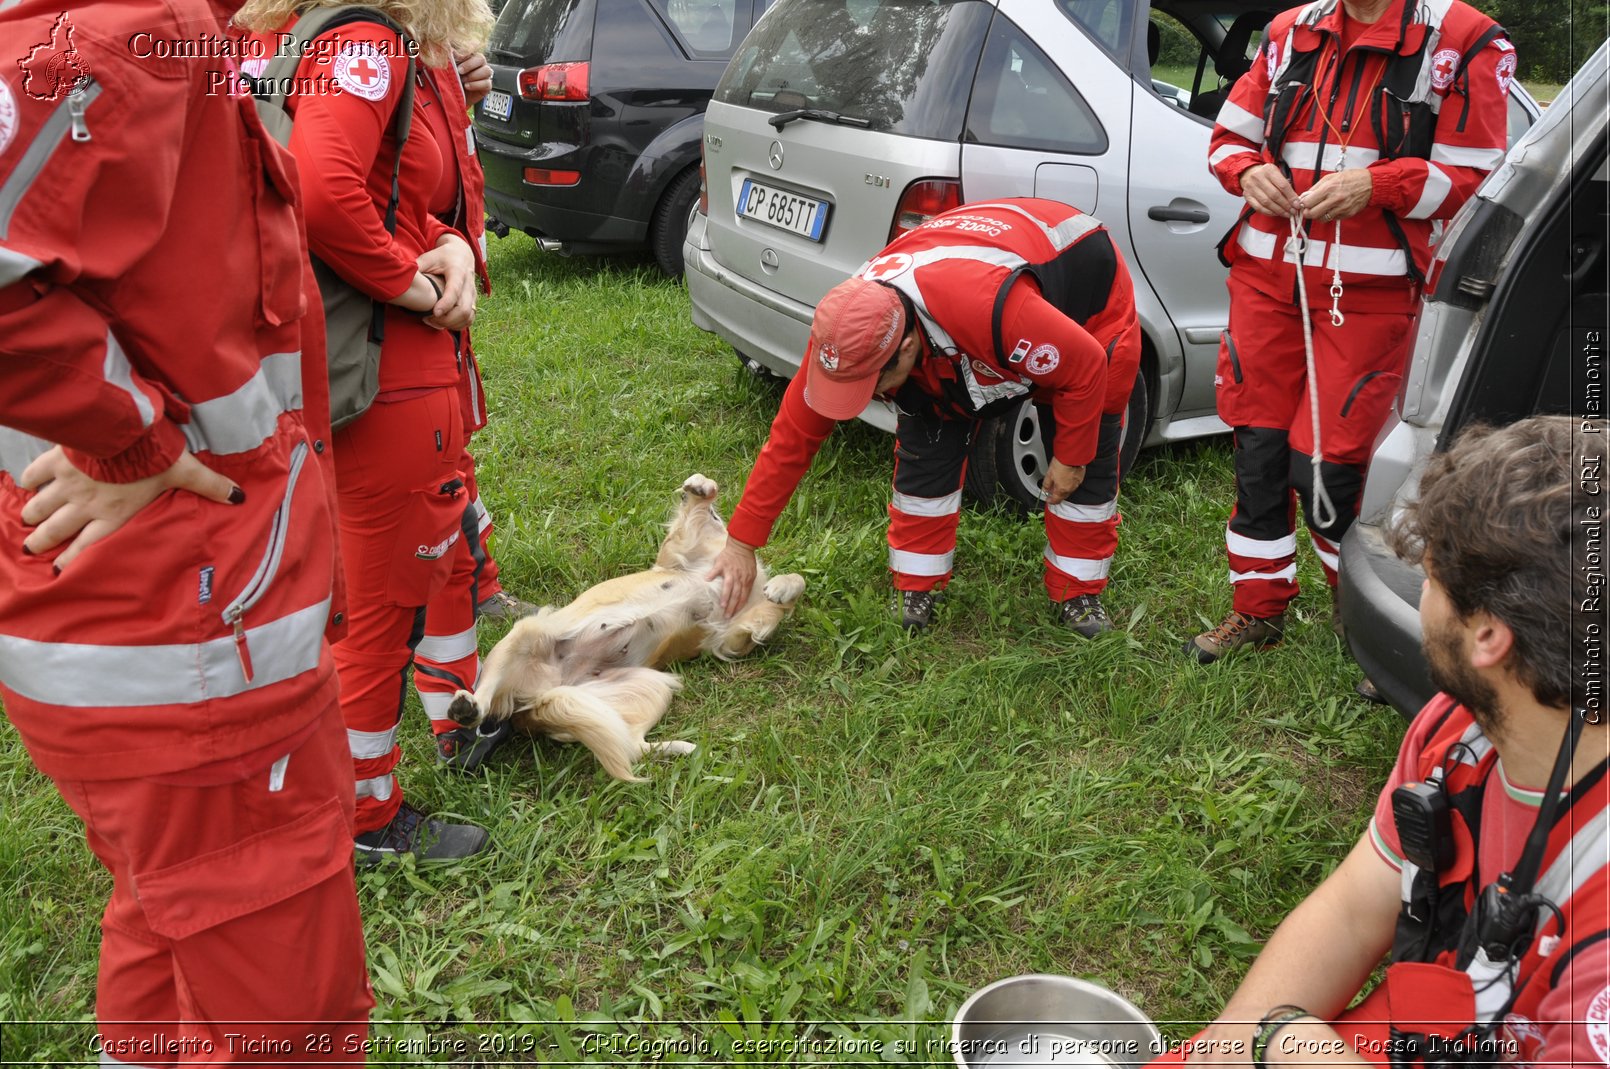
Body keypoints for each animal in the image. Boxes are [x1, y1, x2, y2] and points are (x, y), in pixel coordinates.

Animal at [447, 473, 805, 782]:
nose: (714, 514)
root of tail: (542, 697)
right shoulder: (679, 557)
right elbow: (690, 526)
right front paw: (701, 488)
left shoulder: (727, 636)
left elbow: (784, 598)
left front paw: (781, 589)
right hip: (524, 636)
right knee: (486, 695)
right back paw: (468, 708)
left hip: (649, 687)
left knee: (632, 746)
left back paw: (686, 749)